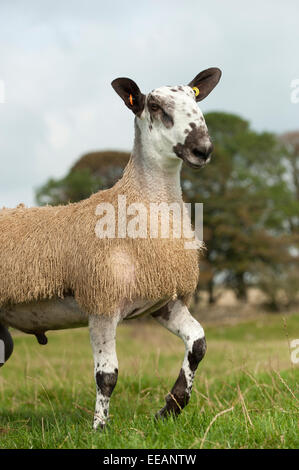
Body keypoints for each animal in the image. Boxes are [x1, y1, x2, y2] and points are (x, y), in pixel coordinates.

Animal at [0, 68, 221, 428]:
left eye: (195, 98)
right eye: (155, 106)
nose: (202, 148)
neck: (136, 203)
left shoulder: (163, 301)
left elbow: (198, 344)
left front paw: (171, 407)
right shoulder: (101, 302)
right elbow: (107, 375)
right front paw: (99, 428)